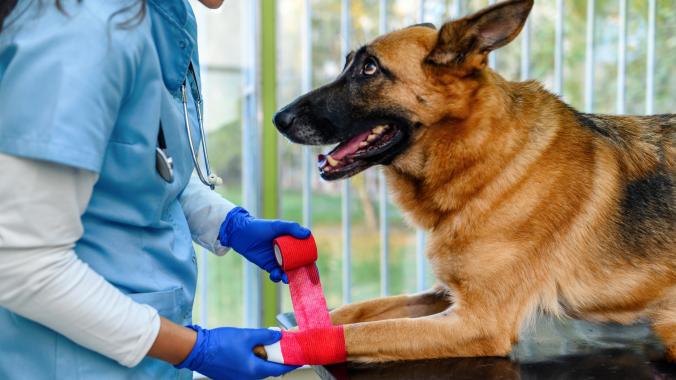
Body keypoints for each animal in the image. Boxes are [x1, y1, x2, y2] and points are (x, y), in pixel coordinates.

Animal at [272, 0, 672, 362]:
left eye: (370, 68)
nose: (278, 118)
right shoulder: (442, 294)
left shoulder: (476, 323)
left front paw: (281, 346)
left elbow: (367, 331)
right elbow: (356, 311)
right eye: (348, 64)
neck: (487, 162)